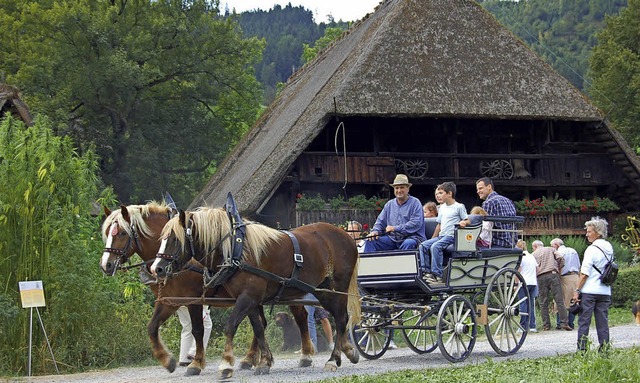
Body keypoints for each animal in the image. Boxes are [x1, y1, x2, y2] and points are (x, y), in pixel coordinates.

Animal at [99, 204, 310, 376]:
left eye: (121, 233)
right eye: (108, 232)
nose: (105, 265)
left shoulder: (193, 300)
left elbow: (198, 330)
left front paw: (197, 363)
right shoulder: (170, 300)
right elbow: (152, 327)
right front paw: (167, 361)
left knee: (300, 317)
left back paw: (305, 355)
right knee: (261, 323)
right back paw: (250, 359)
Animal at [149, 208, 360, 382]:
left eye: (175, 239)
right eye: (162, 238)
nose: (156, 269)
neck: (236, 250)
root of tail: (346, 235)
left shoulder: (245, 297)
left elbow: (229, 326)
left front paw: (226, 364)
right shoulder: (248, 299)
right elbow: (258, 328)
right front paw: (264, 361)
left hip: (336, 287)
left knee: (340, 318)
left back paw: (333, 359)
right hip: (321, 290)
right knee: (338, 317)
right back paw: (347, 352)